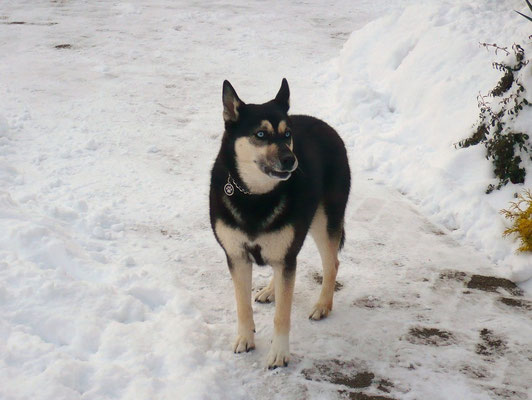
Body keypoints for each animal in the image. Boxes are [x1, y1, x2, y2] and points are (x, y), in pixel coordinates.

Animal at [210, 79, 352, 368]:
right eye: (261, 134)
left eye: (287, 135)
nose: (290, 160)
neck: (254, 195)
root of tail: (326, 126)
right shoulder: (237, 256)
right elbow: (242, 306)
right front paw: (245, 339)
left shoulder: (286, 254)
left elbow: (281, 316)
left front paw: (279, 353)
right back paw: (270, 290)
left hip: (324, 222)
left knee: (331, 264)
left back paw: (323, 305)